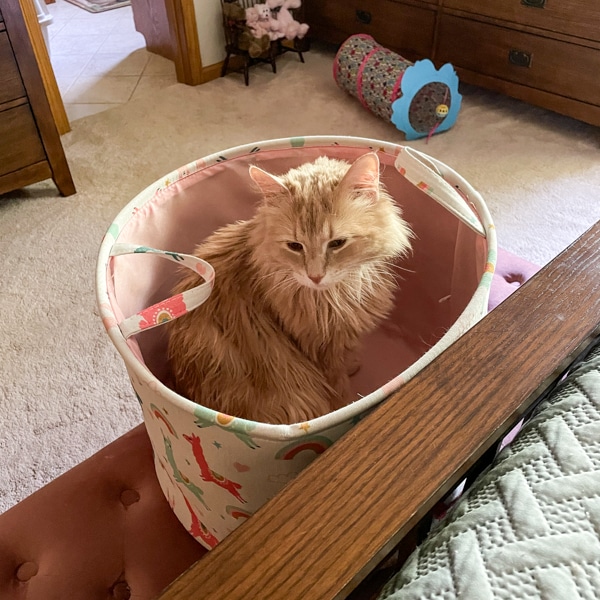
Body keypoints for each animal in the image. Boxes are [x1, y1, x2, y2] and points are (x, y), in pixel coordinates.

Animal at [169, 155, 412, 426]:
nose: (315, 276)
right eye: (295, 246)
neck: (339, 292)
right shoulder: (320, 347)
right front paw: (345, 398)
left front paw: (353, 364)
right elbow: (338, 387)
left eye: (337, 243)